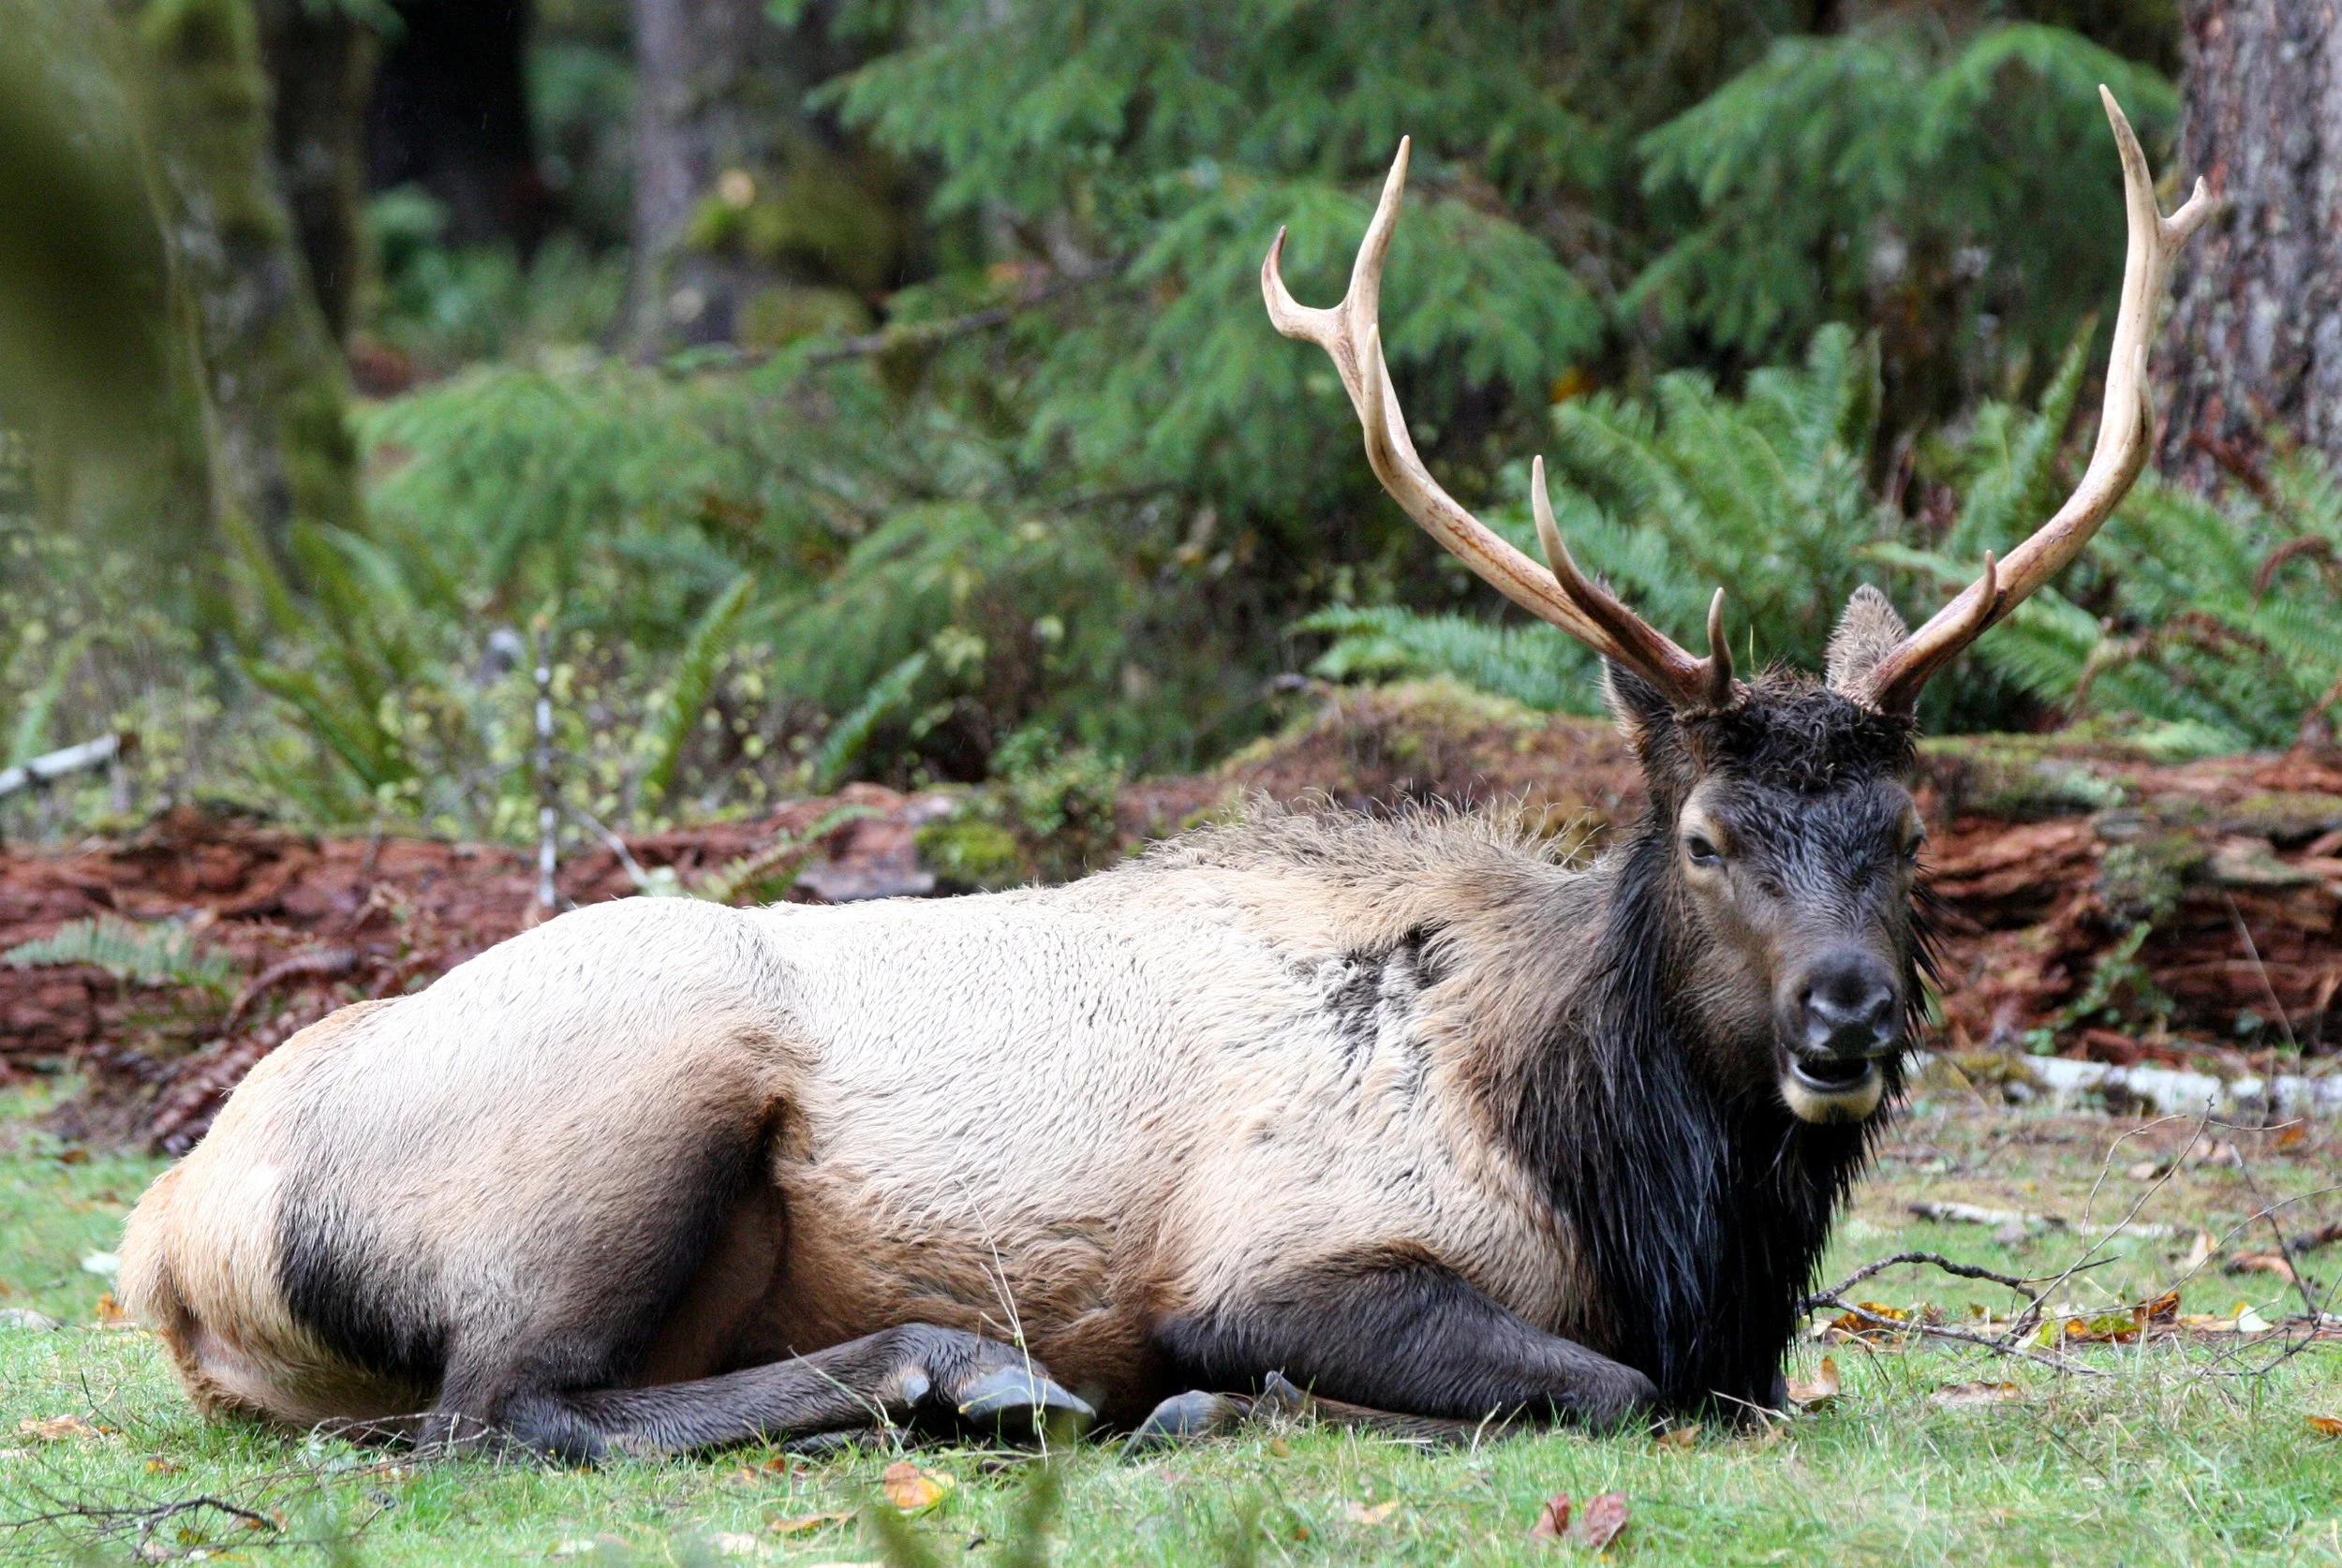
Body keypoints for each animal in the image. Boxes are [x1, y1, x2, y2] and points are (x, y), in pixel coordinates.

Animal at [118, 91, 2208, 1459]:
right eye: (1705, 833)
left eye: (1904, 827)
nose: (1849, 1013)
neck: (1624, 1182)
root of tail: (166, 1236)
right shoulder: (1273, 1249)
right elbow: (1608, 1391)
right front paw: (1212, 1401)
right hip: (636, 1097)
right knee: (501, 1411)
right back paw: (961, 1369)